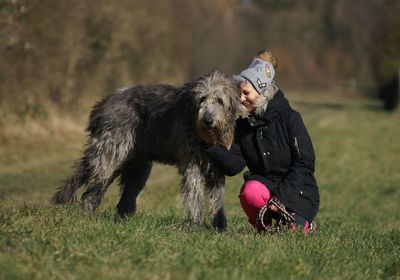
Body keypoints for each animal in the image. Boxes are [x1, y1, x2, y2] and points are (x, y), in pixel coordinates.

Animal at [51, 70, 242, 230]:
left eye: (220, 101)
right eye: (202, 99)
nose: (208, 121)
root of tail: (102, 105)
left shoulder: (217, 167)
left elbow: (217, 199)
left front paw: (220, 228)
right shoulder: (191, 163)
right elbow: (194, 193)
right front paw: (195, 226)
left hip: (137, 165)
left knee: (125, 196)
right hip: (111, 153)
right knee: (93, 189)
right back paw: (88, 217)